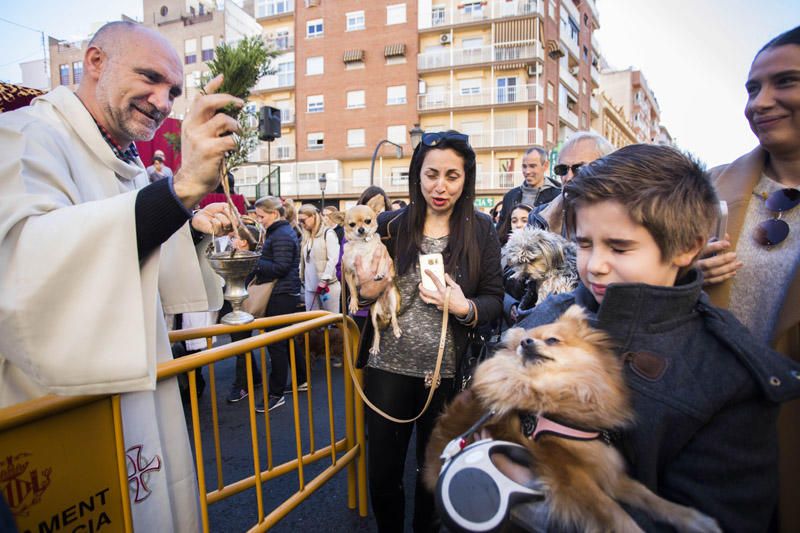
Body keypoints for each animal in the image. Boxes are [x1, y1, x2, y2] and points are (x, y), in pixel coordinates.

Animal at [340, 204, 400, 354]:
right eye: (352, 224)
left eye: (368, 221)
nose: (361, 229)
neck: (362, 245)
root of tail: (385, 312)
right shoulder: (348, 272)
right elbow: (353, 290)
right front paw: (353, 304)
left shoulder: (384, 255)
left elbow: (381, 265)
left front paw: (379, 273)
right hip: (373, 316)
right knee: (377, 332)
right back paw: (376, 347)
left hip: (393, 299)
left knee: (394, 317)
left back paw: (397, 330)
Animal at [424, 304, 720, 532]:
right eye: (520, 344)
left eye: (552, 340)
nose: (525, 342)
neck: (559, 394)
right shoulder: (571, 476)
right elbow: (614, 513)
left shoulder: (606, 468)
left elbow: (648, 496)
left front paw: (692, 518)